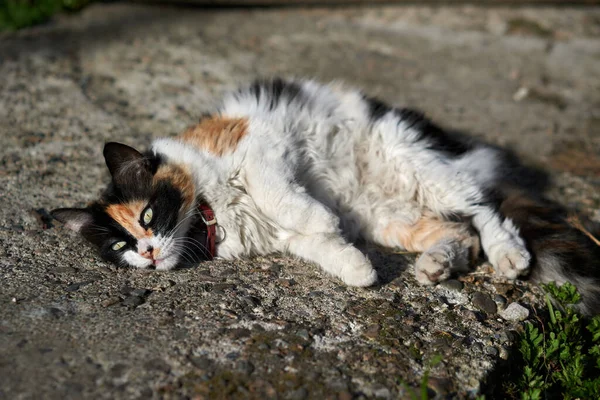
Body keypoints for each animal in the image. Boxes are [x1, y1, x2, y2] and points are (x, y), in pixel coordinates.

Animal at [52, 78, 600, 316]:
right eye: (119, 246)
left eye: (147, 215)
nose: (146, 252)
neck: (209, 211)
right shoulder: (279, 235)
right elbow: (319, 247)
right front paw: (357, 268)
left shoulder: (260, 145)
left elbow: (282, 196)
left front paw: (322, 219)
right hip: (392, 217)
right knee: (460, 232)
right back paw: (435, 265)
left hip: (416, 161)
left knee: (485, 208)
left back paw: (509, 256)